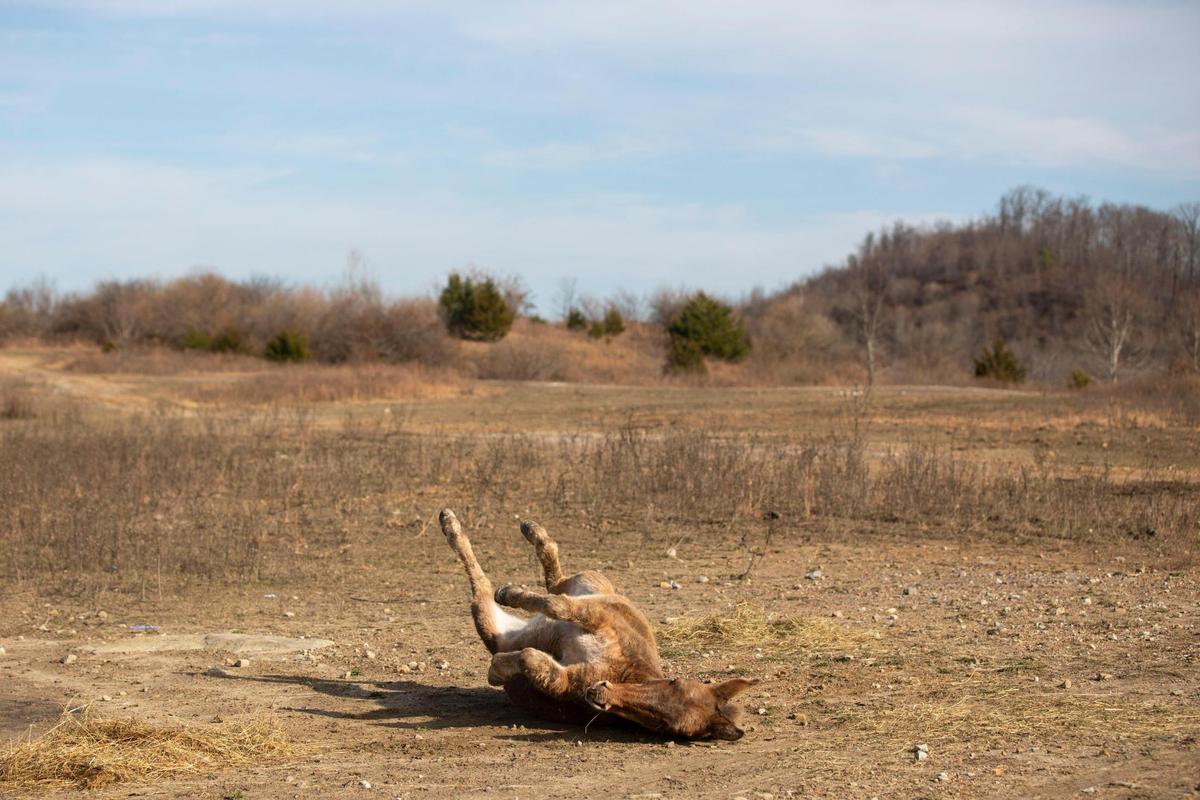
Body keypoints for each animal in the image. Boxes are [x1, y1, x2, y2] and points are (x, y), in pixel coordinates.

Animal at [438, 508, 757, 740]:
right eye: (673, 681)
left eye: (663, 725)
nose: (597, 693)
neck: (623, 670)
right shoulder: (596, 614)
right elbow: (557, 605)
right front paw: (511, 593)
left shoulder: (565, 679)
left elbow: (531, 659)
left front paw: (498, 670)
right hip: (592, 582)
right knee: (553, 580)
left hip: (488, 618)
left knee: (487, 587)